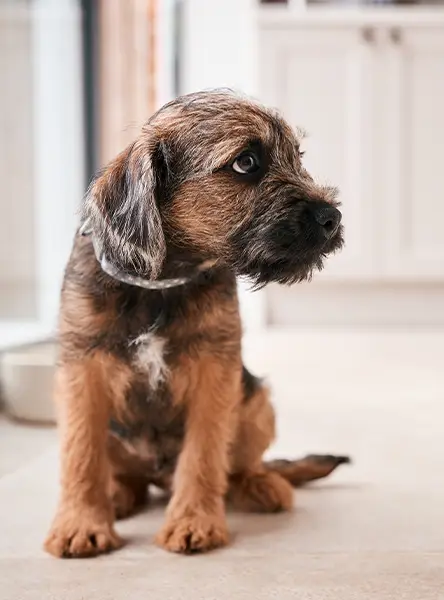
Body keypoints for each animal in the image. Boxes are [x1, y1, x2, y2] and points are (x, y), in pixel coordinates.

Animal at [44, 88, 346, 556]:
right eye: (246, 162)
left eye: (297, 156)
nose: (333, 217)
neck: (161, 283)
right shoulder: (82, 371)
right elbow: (80, 453)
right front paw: (81, 523)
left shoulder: (214, 370)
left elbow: (204, 453)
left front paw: (193, 520)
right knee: (129, 475)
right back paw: (119, 493)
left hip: (256, 401)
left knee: (241, 466)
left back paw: (262, 484)